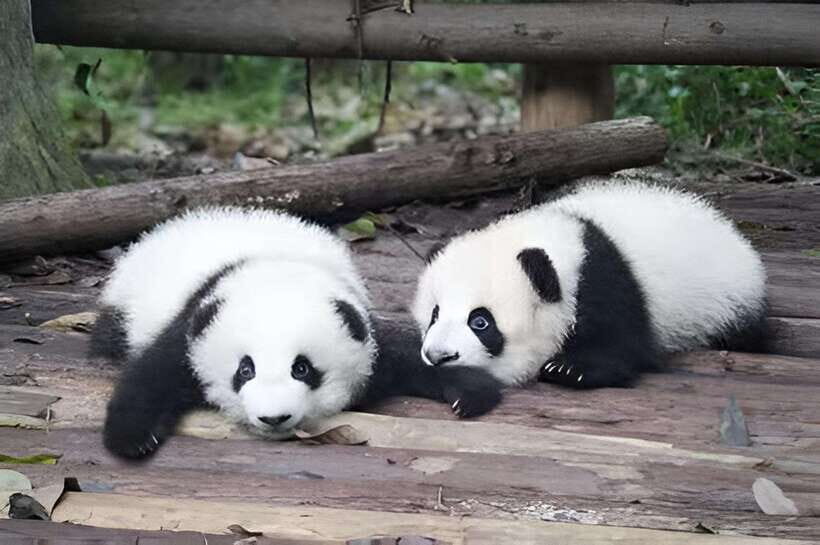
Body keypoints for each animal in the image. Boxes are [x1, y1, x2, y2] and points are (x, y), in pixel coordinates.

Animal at [92, 207, 501, 459]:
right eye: (245, 370)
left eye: (302, 368)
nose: (274, 418)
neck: (277, 269)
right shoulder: (196, 322)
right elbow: (154, 372)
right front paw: (133, 438)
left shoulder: (359, 325)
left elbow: (407, 355)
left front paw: (470, 392)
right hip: (126, 303)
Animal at [413, 181, 767, 397]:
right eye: (434, 314)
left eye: (480, 321)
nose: (438, 356)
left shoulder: (604, 281)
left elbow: (623, 344)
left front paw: (569, 368)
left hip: (726, 302)